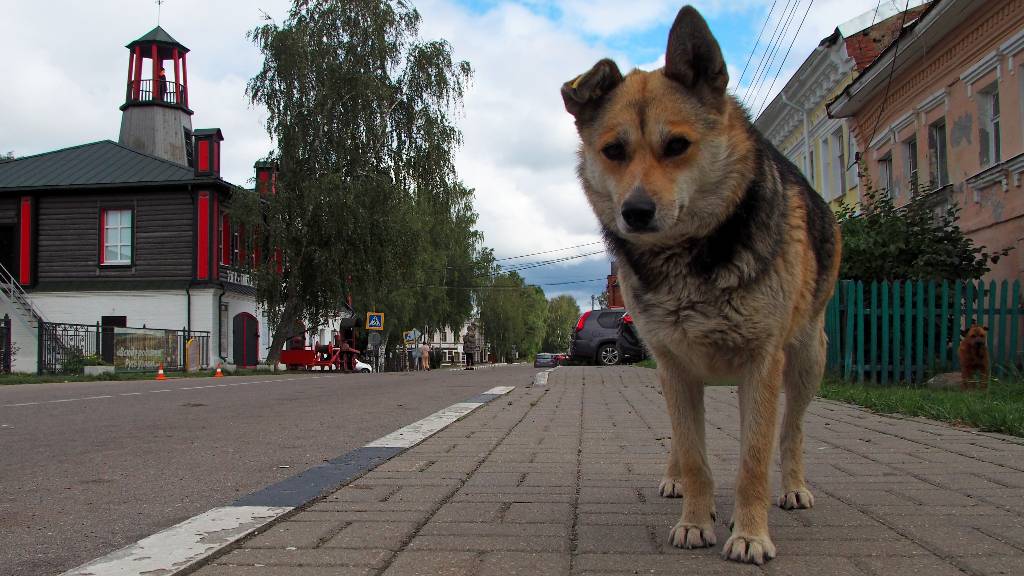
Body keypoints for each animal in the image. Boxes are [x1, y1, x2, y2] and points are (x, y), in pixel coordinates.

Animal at [561, 5, 839, 561]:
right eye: (613, 151)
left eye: (677, 146)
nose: (636, 212)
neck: (688, 261)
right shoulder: (675, 367)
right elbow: (693, 455)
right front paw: (694, 520)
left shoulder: (761, 364)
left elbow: (754, 458)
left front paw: (749, 533)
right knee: (681, 436)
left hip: (806, 357)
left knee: (792, 430)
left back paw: (793, 487)